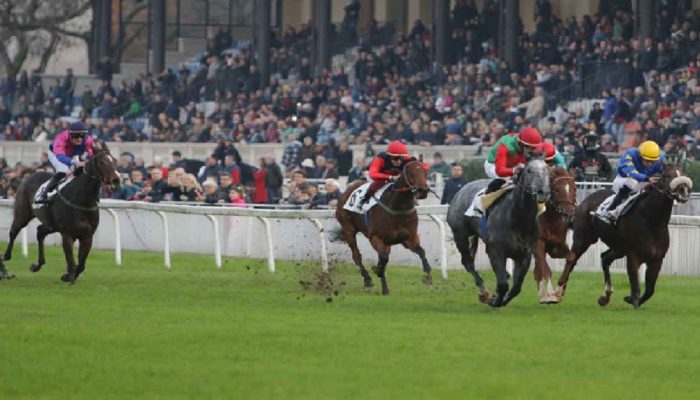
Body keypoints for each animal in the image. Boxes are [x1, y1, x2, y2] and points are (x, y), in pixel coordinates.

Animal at [0, 145, 119, 282]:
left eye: (114, 161)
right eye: (101, 162)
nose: (116, 180)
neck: (82, 200)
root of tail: (29, 176)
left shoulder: (88, 236)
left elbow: (81, 265)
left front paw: (67, 276)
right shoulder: (67, 234)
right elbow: (71, 261)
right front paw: (69, 277)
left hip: (52, 225)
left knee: (40, 231)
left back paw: (37, 265)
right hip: (23, 215)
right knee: (13, 232)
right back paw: (5, 258)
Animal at [334, 161, 430, 296]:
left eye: (425, 172)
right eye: (410, 173)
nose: (423, 191)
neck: (398, 207)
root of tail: (347, 190)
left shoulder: (409, 238)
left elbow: (421, 251)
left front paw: (428, 275)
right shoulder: (376, 237)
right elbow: (383, 259)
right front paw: (376, 269)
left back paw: (385, 288)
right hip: (348, 229)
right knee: (357, 256)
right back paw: (368, 279)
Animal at [448, 159, 552, 306]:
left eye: (547, 170)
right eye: (529, 171)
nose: (543, 192)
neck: (518, 219)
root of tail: (461, 189)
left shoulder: (524, 255)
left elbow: (516, 287)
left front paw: (502, 299)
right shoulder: (495, 251)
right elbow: (503, 285)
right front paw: (494, 300)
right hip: (460, 236)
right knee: (468, 263)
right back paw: (484, 293)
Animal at [532, 166, 576, 304]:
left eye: (574, 188)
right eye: (556, 189)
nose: (570, 214)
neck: (550, 218)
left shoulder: (555, 246)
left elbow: (571, 257)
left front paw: (559, 291)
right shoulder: (538, 243)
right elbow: (546, 269)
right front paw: (551, 294)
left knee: (537, 269)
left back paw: (542, 294)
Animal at [556, 164, 692, 308]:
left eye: (683, 174)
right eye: (668, 176)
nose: (683, 190)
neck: (652, 222)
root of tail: (585, 200)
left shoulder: (657, 259)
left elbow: (650, 290)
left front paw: (629, 299)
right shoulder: (633, 255)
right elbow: (636, 287)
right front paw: (633, 299)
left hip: (618, 248)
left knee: (604, 258)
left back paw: (605, 296)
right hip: (583, 238)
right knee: (571, 261)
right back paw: (558, 291)